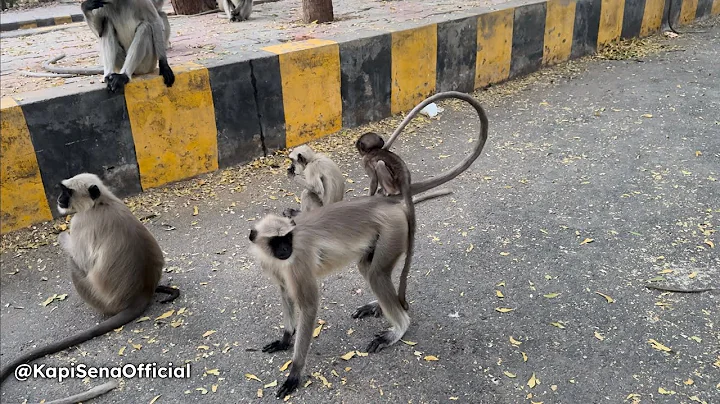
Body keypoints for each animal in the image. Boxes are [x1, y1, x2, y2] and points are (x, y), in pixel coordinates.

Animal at [0, 173, 180, 389]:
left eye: (67, 192)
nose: (59, 198)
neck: (101, 203)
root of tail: (141, 293)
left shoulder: (80, 222)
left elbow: (83, 262)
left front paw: (62, 235)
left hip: (101, 300)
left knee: (73, 263)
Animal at [356, 131, 415, 311]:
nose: (355, 145)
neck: (374, 150)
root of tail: (404, 178)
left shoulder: (366, 161)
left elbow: (373, 180)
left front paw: (370, 195)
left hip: (391, 181)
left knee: (380, 164)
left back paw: (387, 192)